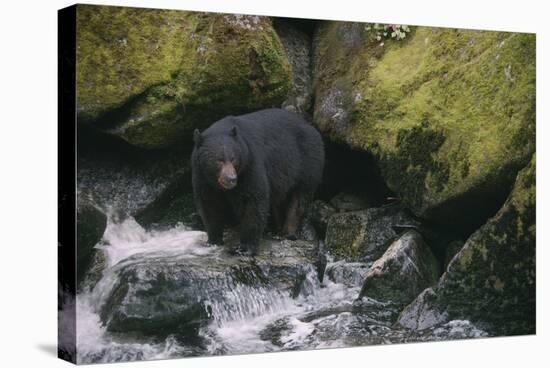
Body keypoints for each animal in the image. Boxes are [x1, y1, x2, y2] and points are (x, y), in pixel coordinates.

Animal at [192, 108, 326, 254]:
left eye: (233, 159)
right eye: (219, 160)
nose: (231, 179)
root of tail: (311, 127)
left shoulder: (249, 165)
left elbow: (253, 200)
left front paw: (246, 247)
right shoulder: (202, 177)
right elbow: (209, 204)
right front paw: (213, 240)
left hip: (307, 164)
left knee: (298, 199)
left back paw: (288, 232)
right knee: (280, 202)